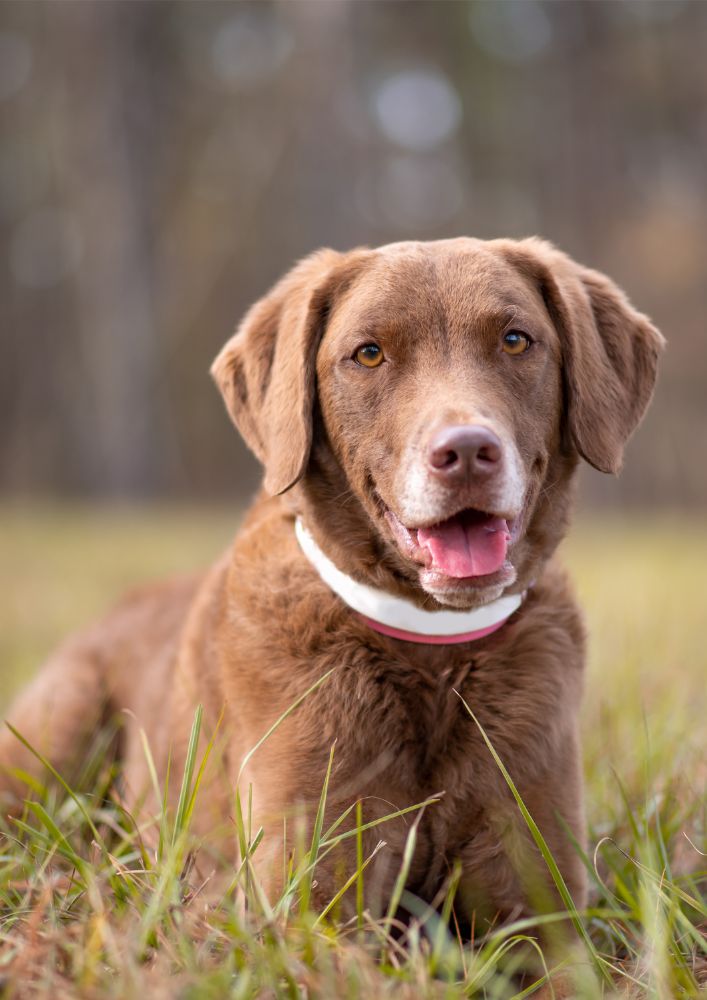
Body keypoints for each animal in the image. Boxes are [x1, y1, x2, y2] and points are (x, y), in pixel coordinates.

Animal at [0, 238, 664, 932]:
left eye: (515, 340)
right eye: (368, 354)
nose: (466, 452)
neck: (433, 656)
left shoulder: (538, 904)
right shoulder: (312, 902)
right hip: (61, 724)